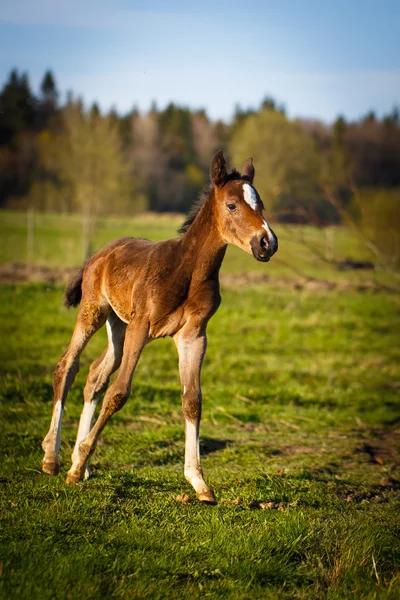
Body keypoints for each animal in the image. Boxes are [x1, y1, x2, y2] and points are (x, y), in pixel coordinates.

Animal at [41, 150, 278, 502]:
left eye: (260, 204)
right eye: (233, 205)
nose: (267, 243)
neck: (187, 270)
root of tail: (99, 254)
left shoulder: (193, 335)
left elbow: (192, 399)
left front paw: (198, 481)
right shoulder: (142, 327)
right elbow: (119, 392)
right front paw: (79, 460)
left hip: (118, 325)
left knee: (95, 375)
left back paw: (78, 464)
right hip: (94, 311)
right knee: (67, 366)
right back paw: (53, 458)